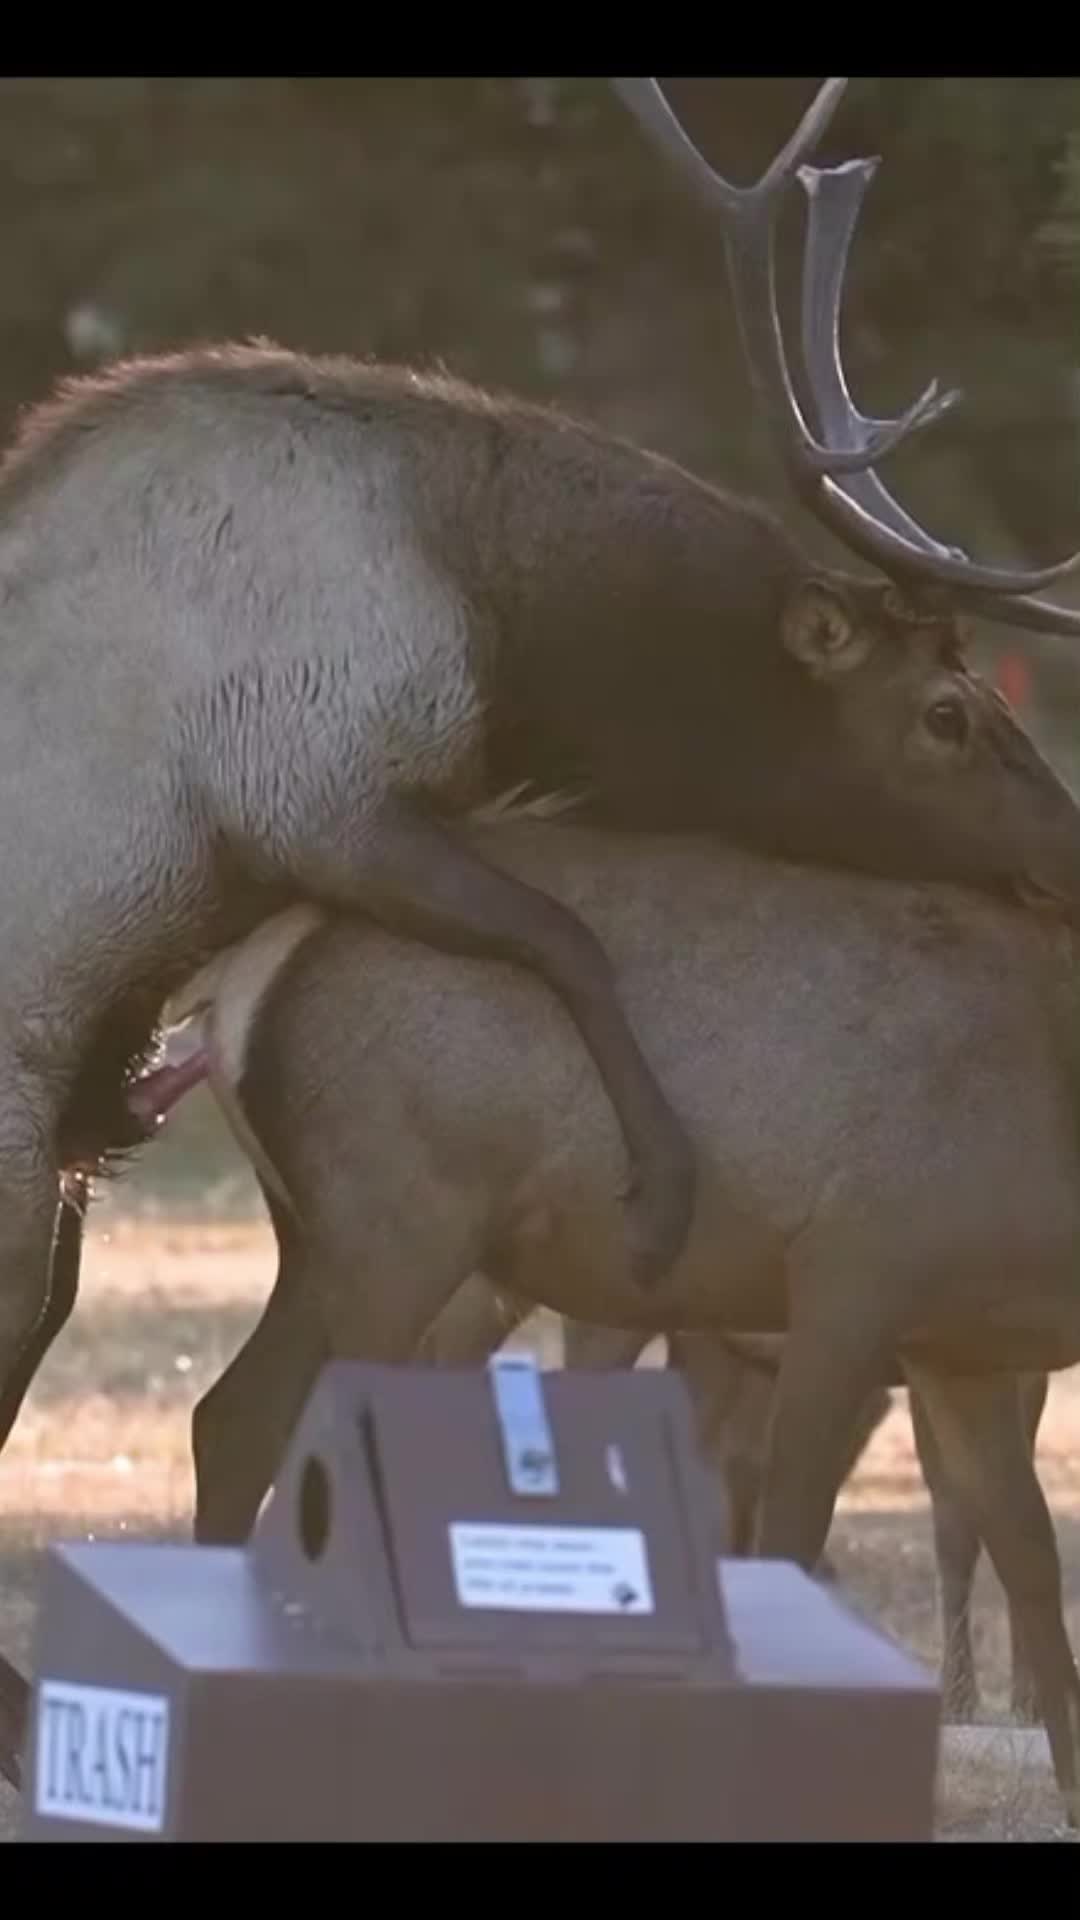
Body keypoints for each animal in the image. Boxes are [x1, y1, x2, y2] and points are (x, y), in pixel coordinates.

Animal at [2, 78, 1080, 1502]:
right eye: (944, 715)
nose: (1070, 847)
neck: (514, 632)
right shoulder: (316, 789)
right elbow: (561, 934)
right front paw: (664, 1188)